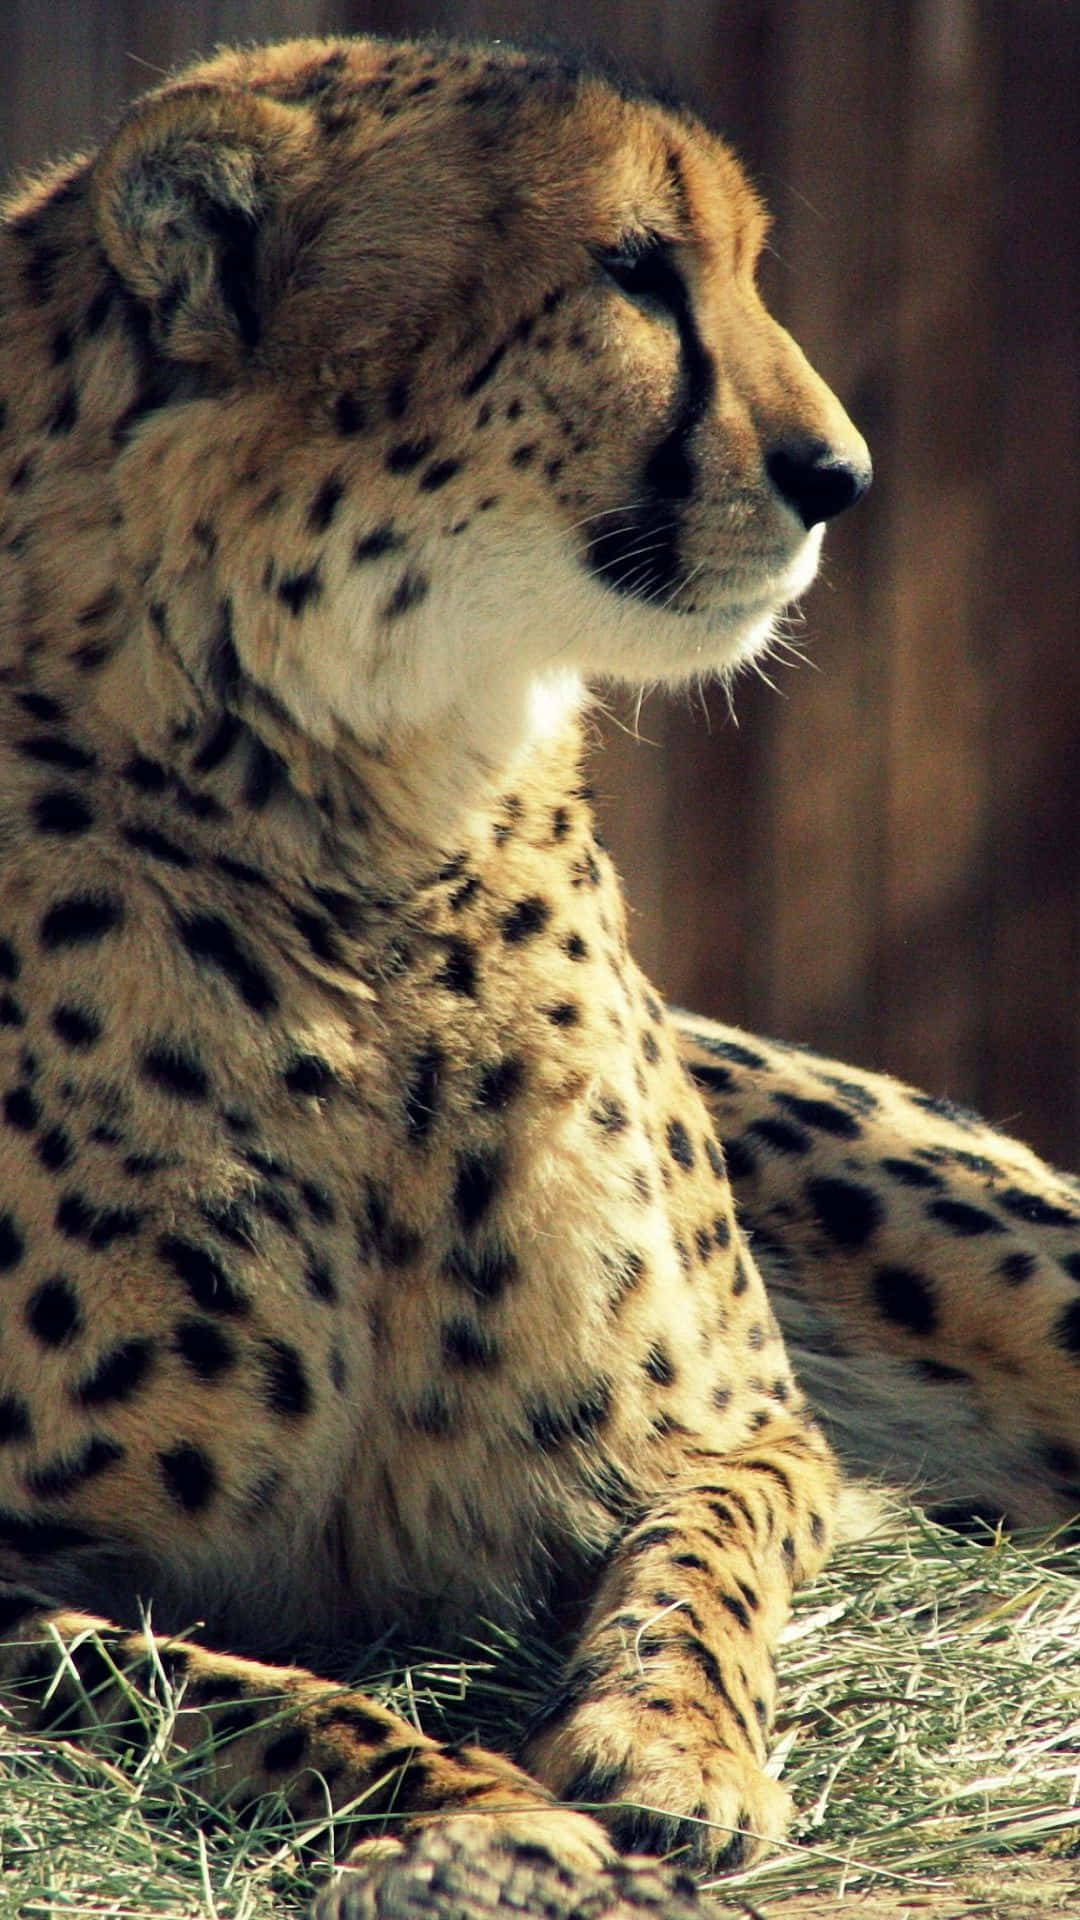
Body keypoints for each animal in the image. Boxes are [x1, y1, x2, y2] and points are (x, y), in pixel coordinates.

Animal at [0, 31, 1077, 1914]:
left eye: (745, 263)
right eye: (634, 272)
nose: (843, 476)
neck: (364, 816)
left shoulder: (757, 1429)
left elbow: (699, 1544)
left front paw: (670, 1749)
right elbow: (187, 1678)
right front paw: (481, 1814)